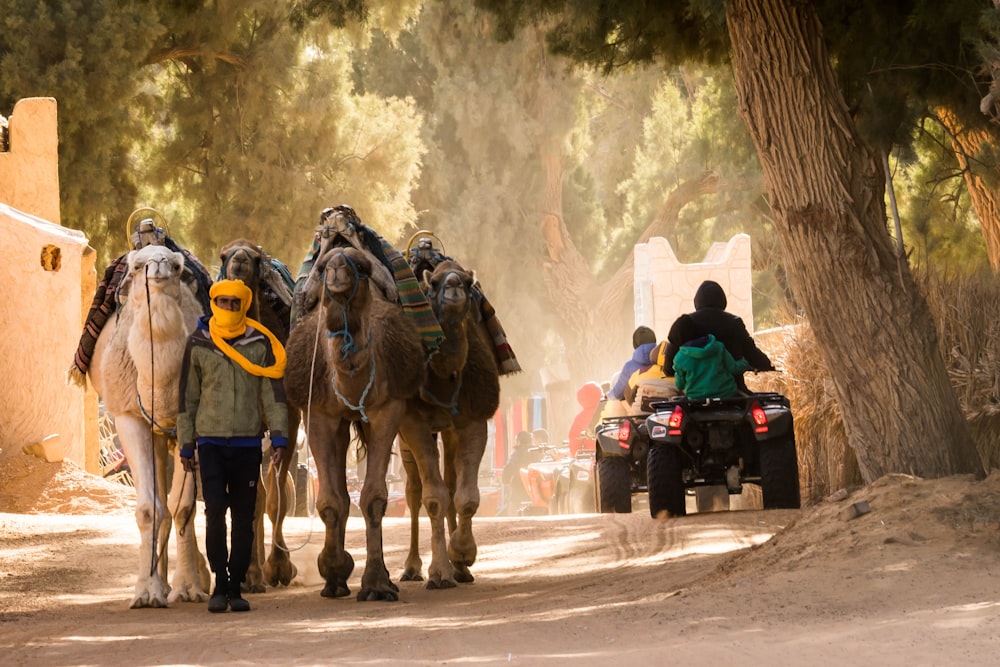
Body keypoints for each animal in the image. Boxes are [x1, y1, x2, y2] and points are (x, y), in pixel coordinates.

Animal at [87, 245, 211, 612]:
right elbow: (148, 509)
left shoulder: (189, 425)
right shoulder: (129, 416)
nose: (157, 268)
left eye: (176, 265)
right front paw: (146, 592)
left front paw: (189, 588)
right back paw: (163, 581)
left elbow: (184, 507)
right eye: (138, 265)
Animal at [284, 248, 424, 604]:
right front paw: (334, 572)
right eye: (323, 267)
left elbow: (374, 497)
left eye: (359, 265)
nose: (336, 268)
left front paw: (376, 583)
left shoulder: (387, 409)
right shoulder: (318, 414)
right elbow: (330, 501)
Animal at [394, 258, 496, 588]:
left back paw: (459, 569)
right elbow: (433, 498)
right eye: (435, 283)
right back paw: (412, 567)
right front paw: (439, 572)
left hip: (448, 431)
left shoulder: (473, 420)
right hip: (404, 436)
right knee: (413, 492)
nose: (453, 287)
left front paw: (462, 554)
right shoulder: (413, 424)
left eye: (467, 282)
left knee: (451, 484)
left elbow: (466, 496)